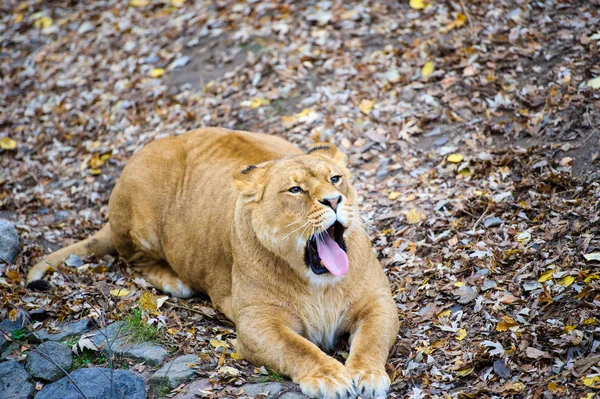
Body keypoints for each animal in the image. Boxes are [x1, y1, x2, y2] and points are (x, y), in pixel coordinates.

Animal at [29, 128, 404, 399]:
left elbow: (371, 340)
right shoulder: (257, 324)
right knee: (133, 260)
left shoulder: (378, 302)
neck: (317, 283)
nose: (334, 200)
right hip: (141, 219)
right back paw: (175, 282)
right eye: (295, 190)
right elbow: (298, 349)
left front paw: (368, 376)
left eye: (336, 179)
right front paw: (329, 378)